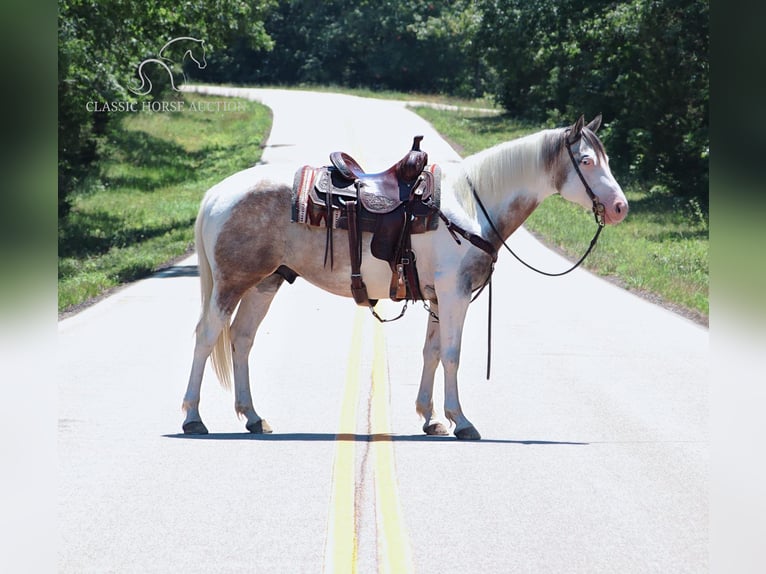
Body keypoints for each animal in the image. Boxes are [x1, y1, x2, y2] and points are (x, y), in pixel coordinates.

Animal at [182, 116, 632, 440]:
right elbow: (451, 354)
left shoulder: (438, 298)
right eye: (587, 161)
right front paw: (461, 421)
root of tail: (217, 194)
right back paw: (193, 418)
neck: (471, 207)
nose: (620, 207)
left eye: (607, 160)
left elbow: (431, 352)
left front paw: (430, 418)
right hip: (231, 283)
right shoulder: (454, 295)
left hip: (266, 282)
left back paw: (253, 417)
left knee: (241, 340)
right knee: (207, 335)